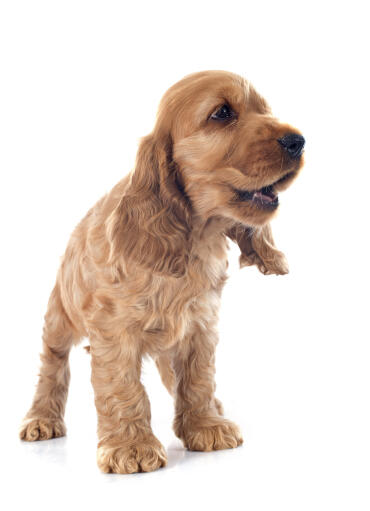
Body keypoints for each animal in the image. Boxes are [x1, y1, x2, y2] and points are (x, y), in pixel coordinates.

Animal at [18, 70, 304, 474]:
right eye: (222, 113)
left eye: (265, 110)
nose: (299, 141)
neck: (194, 236)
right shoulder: (113, 331)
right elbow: (123, 387)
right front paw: (131, 447)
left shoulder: (200, 325)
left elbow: (198, 379)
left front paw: (206, 425)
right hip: (59, 315)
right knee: (52, 366)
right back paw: (41, 419)